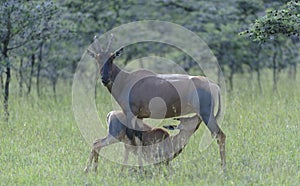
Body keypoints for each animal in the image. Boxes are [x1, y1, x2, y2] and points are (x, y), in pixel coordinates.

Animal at [88, 35, 226, 170]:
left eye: (112, 58)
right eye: (97, 58)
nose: (105, 79)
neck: (127, 79)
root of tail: (214, 85)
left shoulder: (131, 113)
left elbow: (132, 142)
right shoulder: (140, 117)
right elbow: (137, 140)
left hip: (206, 114)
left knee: (220, 135)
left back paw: (223, 169)